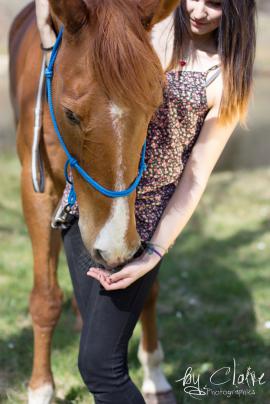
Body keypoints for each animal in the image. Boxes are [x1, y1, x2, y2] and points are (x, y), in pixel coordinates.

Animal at [8, 0, 179, 404]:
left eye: (155, 106)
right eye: (70, 114)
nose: (114, 249)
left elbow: (148, 286)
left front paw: (154, 371)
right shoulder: (36, 191)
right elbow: (45, 299)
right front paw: (41, 388)